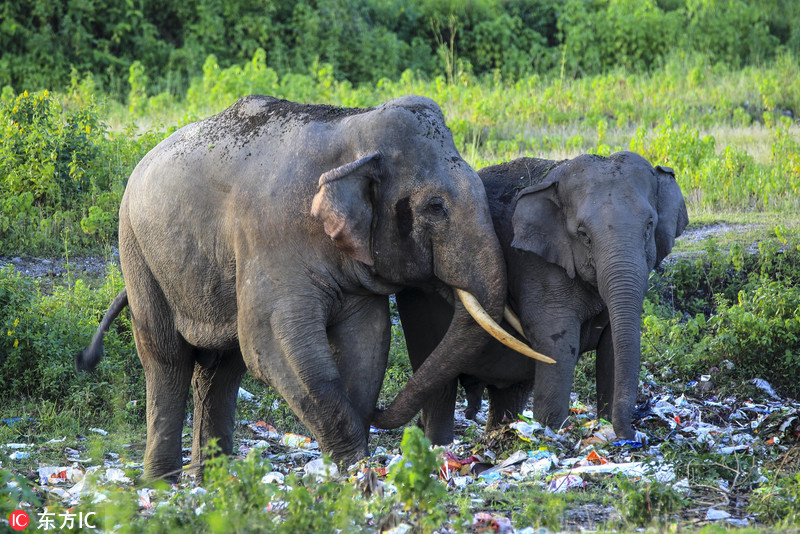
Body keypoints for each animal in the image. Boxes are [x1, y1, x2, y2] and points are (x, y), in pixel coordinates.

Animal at [376, 153, 688, 446]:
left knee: (507, 393)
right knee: (438, 387)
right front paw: (554, 432)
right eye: (583, 235)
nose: (633, 436)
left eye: (649, 226)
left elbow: (612, 348)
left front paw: (604, 429)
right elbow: (556, 344)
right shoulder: (538, 268)